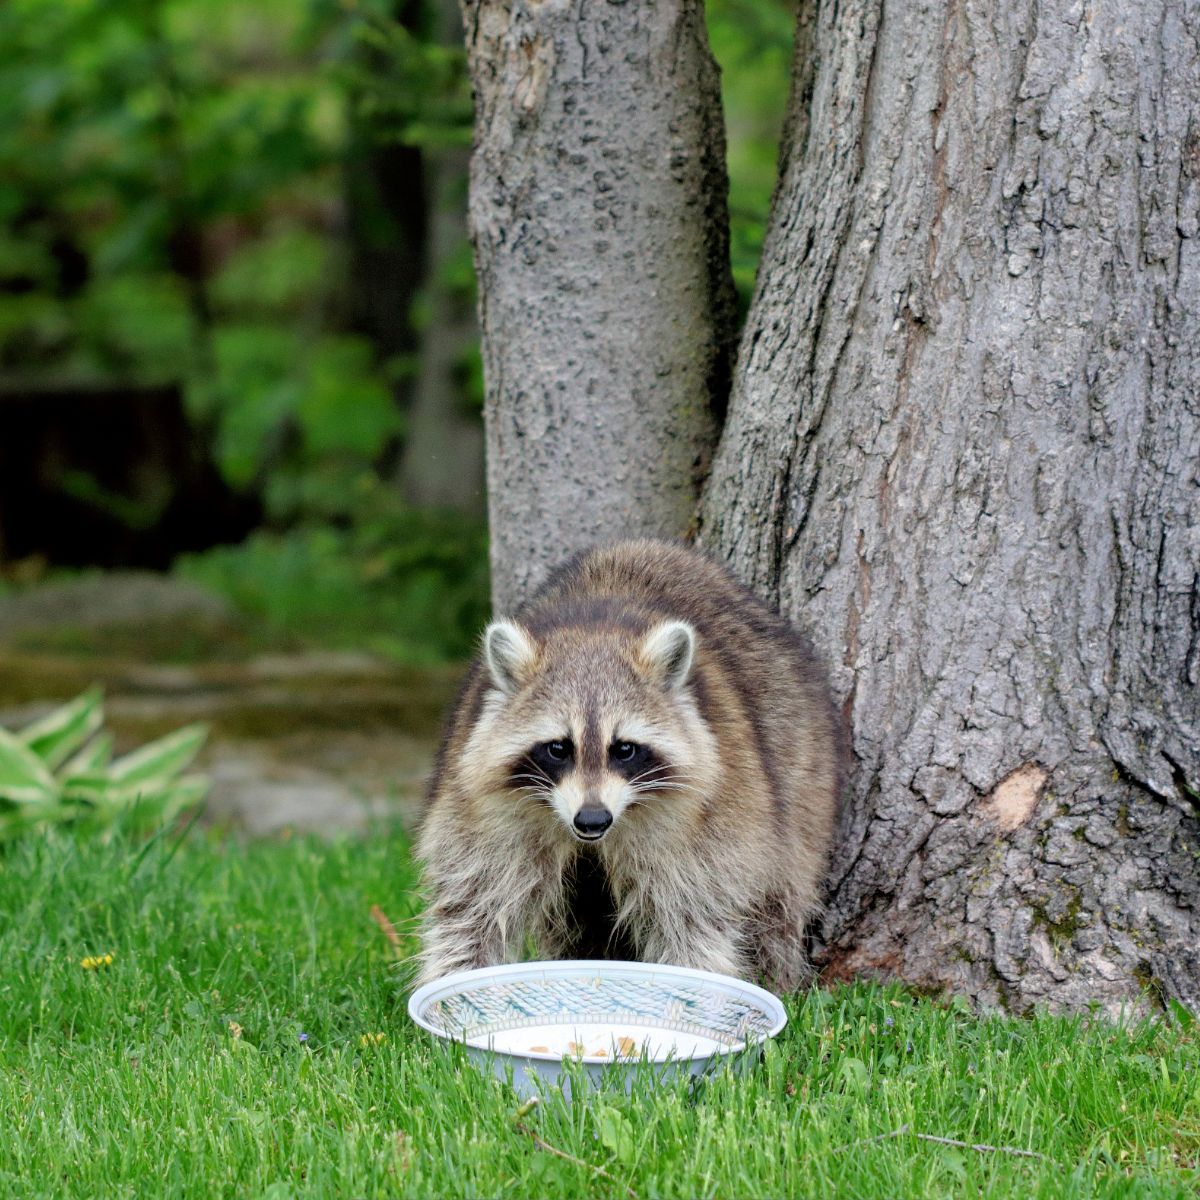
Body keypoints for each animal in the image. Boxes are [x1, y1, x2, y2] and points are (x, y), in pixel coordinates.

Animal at [415, 539, 843, 990]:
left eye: (623, 749)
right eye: (558, 748)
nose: (592, 820)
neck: (593, 633)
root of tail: (647, 546)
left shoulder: (705, 824)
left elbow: (691, 912)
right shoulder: (485, 808)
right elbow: (474, 905)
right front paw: (453, 983)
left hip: (803, 772)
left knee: (780, 897)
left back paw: (776, 974)